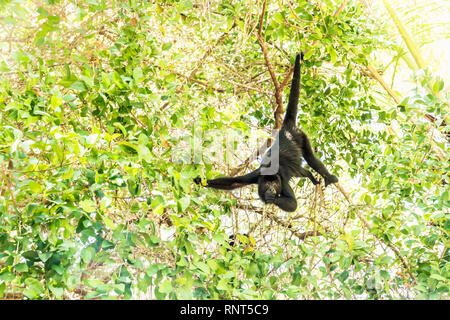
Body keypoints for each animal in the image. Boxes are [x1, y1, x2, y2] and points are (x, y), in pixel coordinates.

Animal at [193, 53, 338, 211]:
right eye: (268, 183)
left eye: (274, 183)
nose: (271, 189)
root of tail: (286, 128)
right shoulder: (257, 175)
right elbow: (234, 182)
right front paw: (201, 180)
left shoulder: (282, 180)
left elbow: (293, 204)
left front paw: (272, 198)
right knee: (300, 169)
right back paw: (309, 175)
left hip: (300, 135)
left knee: (311, 158)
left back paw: (329, 178)